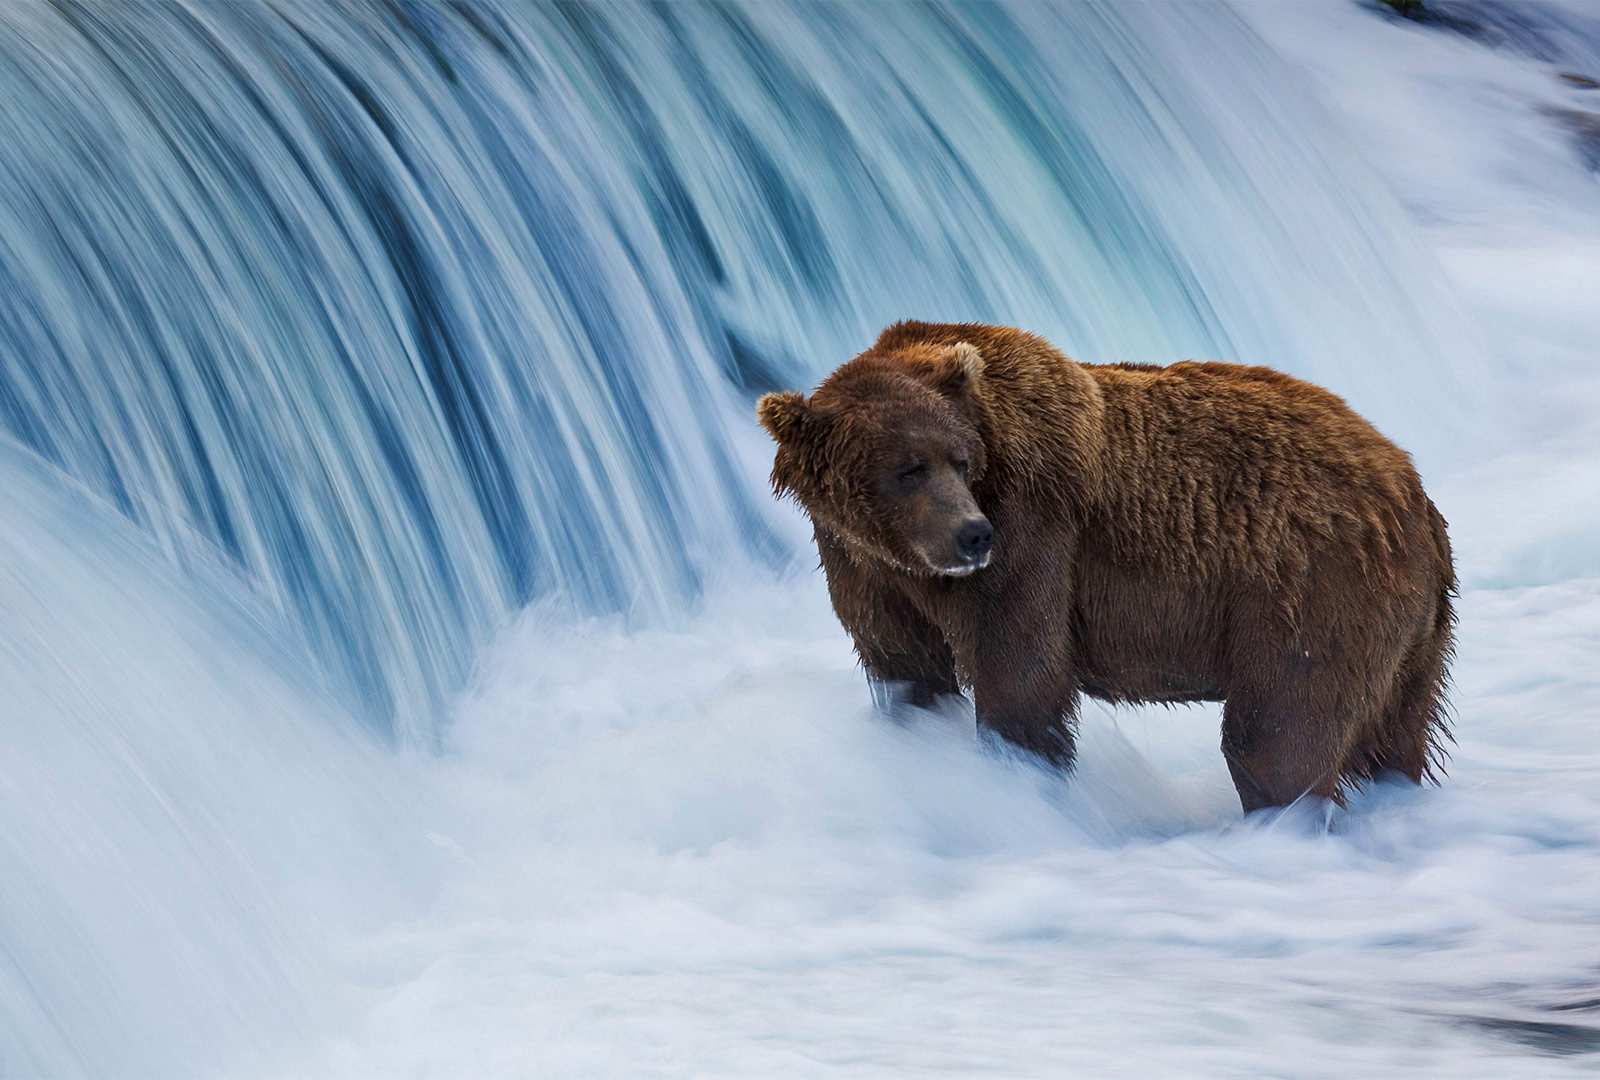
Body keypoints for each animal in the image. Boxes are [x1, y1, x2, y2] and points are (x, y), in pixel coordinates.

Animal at [757, 320, 1456, 812]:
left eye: (959, 459)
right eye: (908, 469)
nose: (972, 535)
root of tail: (1411, 485)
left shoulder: (1035, 531)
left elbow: (1021, 675)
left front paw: (1020, 776)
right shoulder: (867, 571)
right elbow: (907, 672)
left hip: (1311, 587)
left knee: (1278, 732)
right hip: (1410, 631)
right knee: (1392, 734)